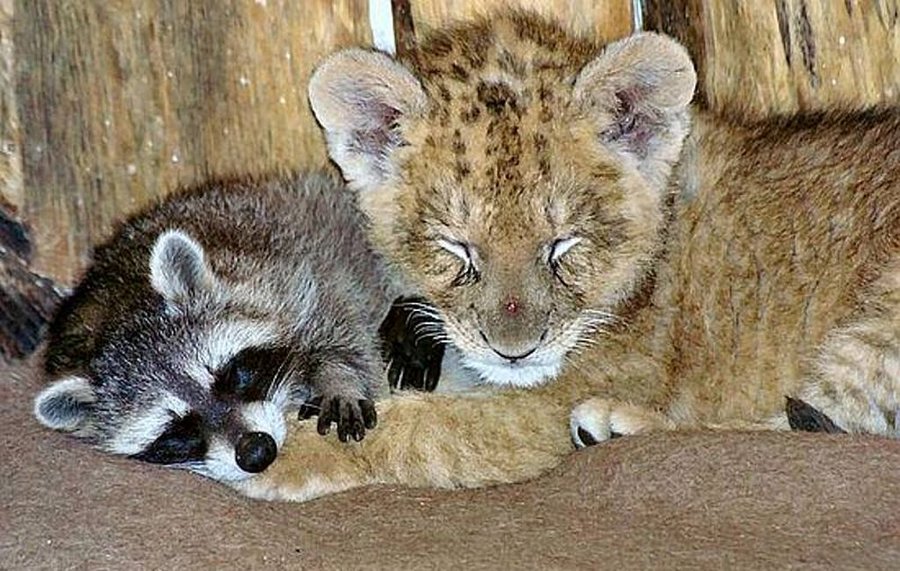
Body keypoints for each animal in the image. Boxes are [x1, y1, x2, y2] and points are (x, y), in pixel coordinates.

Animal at [33, 172, 396, 484]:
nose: (257, 452)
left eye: (231, 375)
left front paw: (339, 378)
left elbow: (340, 322)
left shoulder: (289, 272)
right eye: (178, 430)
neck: (123, 306)